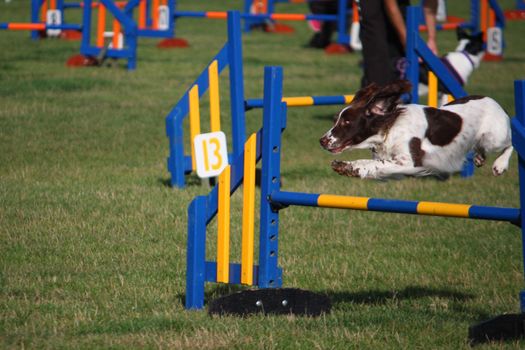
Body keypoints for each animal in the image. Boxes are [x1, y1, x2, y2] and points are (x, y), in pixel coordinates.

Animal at [320, 80, 512, 179]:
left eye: (346, 122)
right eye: (336, 119)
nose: (322, 141)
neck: (391, 127)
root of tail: (494, 102)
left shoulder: (410, 162)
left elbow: (374, 164)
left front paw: (348, 167)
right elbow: (374, 164)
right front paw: (346, 166)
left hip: (495, 137)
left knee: (511, 144)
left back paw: (500, 165)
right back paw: (480, 158)